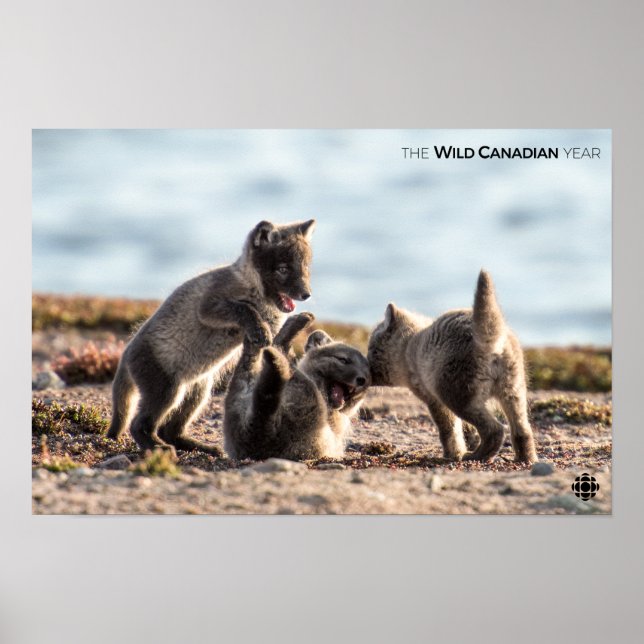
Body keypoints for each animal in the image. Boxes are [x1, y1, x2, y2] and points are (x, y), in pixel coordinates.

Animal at [107, 219, 316, 455]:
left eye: (305, 268)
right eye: (283, 269)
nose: (306, 294)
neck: (255, 291)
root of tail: (125, 354)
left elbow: (277, 334)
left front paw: (296, 323)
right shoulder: (208, 306)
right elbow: (243, 308)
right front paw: (258, 327)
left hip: (198, 391)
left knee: (170, 430)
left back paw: (197, 446)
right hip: (166, 391)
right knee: (138, 425)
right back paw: (157, 447)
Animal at [223, 313, 371, 461]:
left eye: (367, 372)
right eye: (343, 360)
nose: (362, 380)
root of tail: (256, 434)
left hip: (305, 398)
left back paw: (278, 355)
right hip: (239, 398)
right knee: (249, 368)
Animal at [367, 270, 538, 463]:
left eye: (372, 349)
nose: (364, 368)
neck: (410, 345)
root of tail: (490, 341)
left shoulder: (433, 398)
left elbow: (448, 430)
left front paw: (453, 454)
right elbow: (464, 431)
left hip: (457, 394)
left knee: (495, 430)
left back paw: (476, 456)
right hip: (513, 391)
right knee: (523, 430)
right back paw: (525, 458)